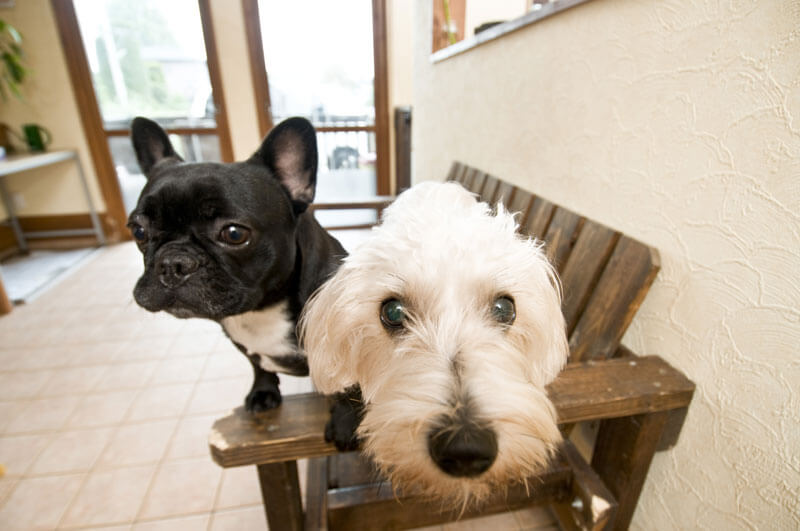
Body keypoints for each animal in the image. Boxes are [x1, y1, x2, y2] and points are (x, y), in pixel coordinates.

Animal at [130, 117, 346, 416]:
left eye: (234, 234)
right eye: (138, 231)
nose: (173, 263)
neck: (264, 309)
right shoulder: (243, 345)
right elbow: (258, 367)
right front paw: (263, 392)